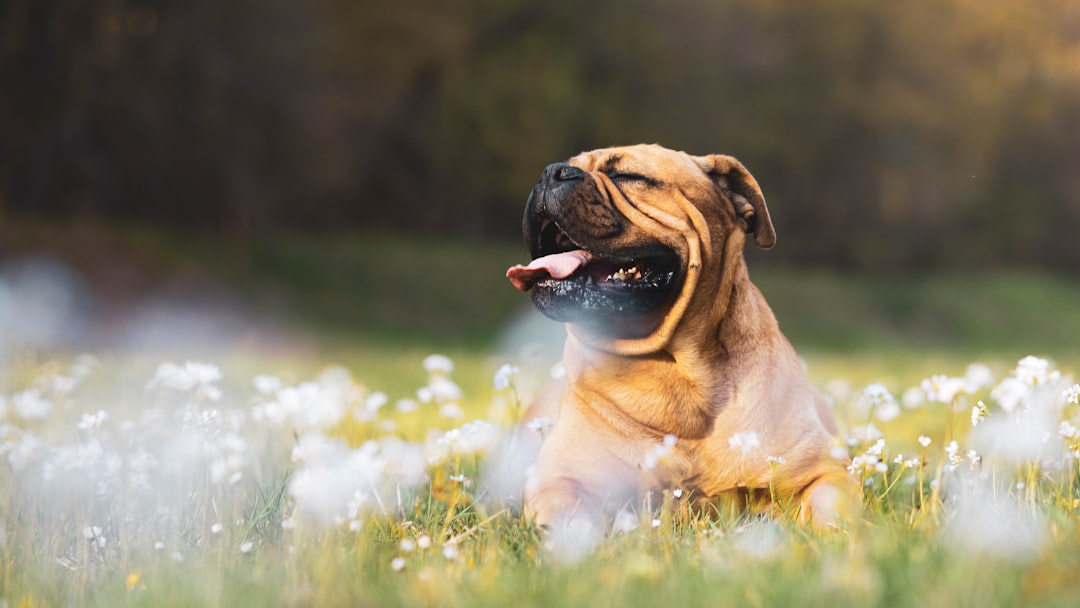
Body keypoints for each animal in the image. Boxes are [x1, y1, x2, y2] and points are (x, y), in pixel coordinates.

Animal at [507, 144, 859, 531]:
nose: (551, 172)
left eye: (627, 176)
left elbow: (830, 508)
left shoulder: (825, 471)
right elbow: (573, 522)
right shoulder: (560, 479)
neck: (673, 370)